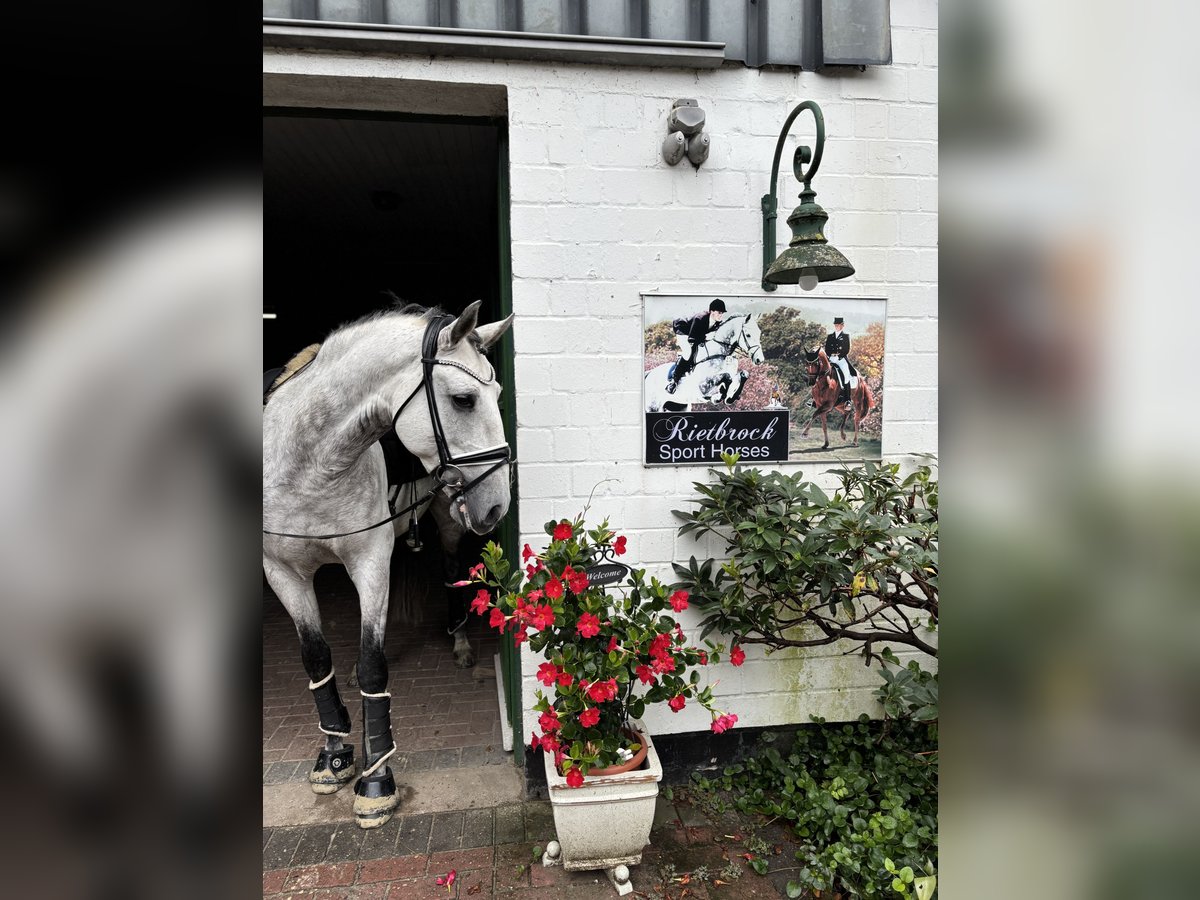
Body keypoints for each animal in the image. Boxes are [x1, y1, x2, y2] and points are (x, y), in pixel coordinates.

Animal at [262, 304, 511, 830]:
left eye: (499, 395)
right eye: (463, 400)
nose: (498, 504)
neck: (306, 466)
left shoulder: (371, 562)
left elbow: (373, 666)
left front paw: (376, 780)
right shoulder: (283, 574)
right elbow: (317, 659)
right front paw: (334, 754)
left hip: (449, 517)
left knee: (451, 573)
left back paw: (460, 642)